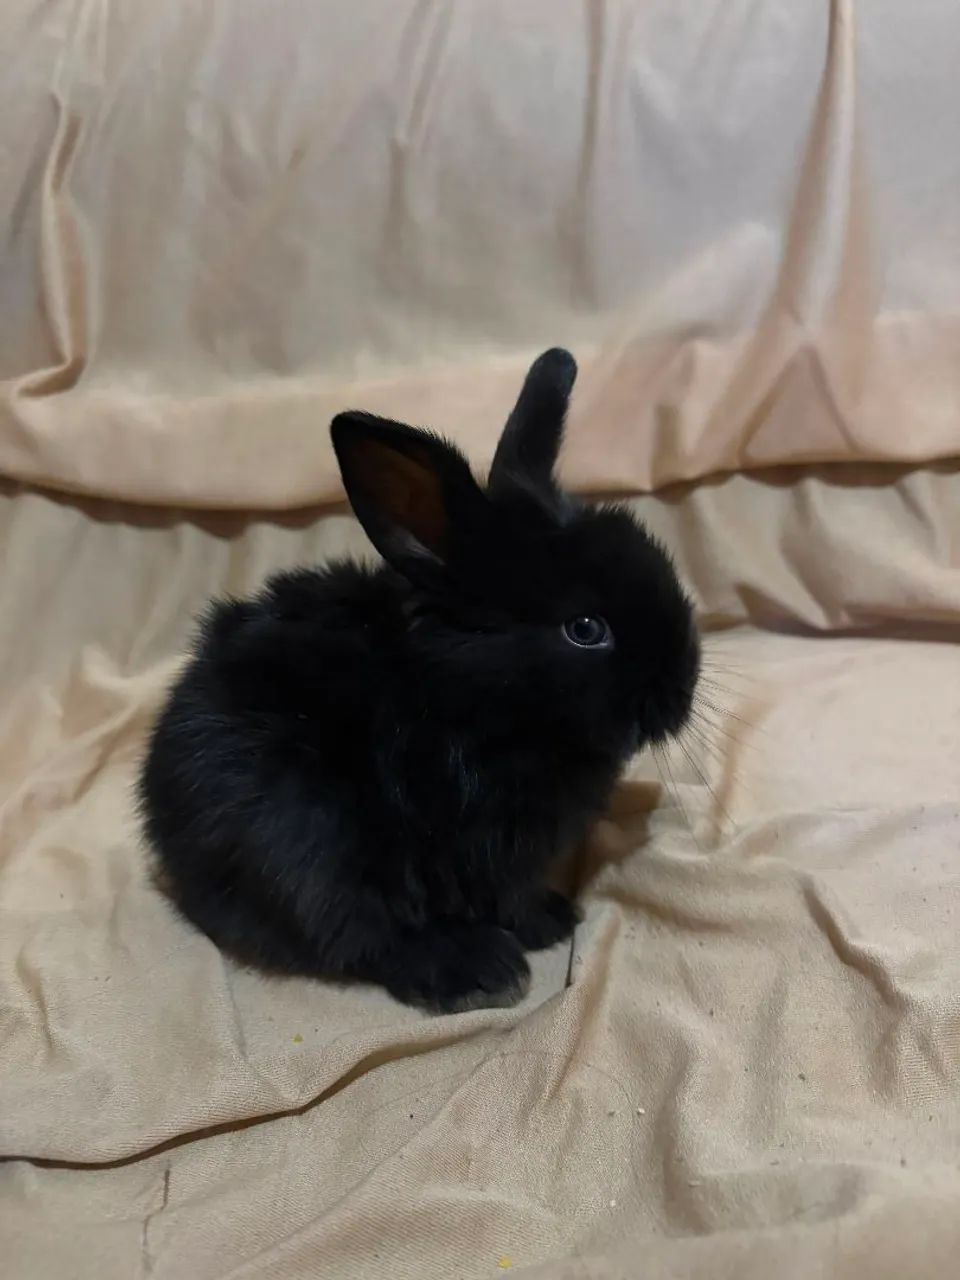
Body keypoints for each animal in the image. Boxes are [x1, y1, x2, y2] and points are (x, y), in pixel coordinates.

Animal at [138, 349, 700, 1013]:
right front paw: (545, 925)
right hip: (307, 839)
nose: (684, 689)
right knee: (361, 933)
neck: (475, 698)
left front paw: (552, 918)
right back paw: (480, 971)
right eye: (586, 629)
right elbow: (496, 896)